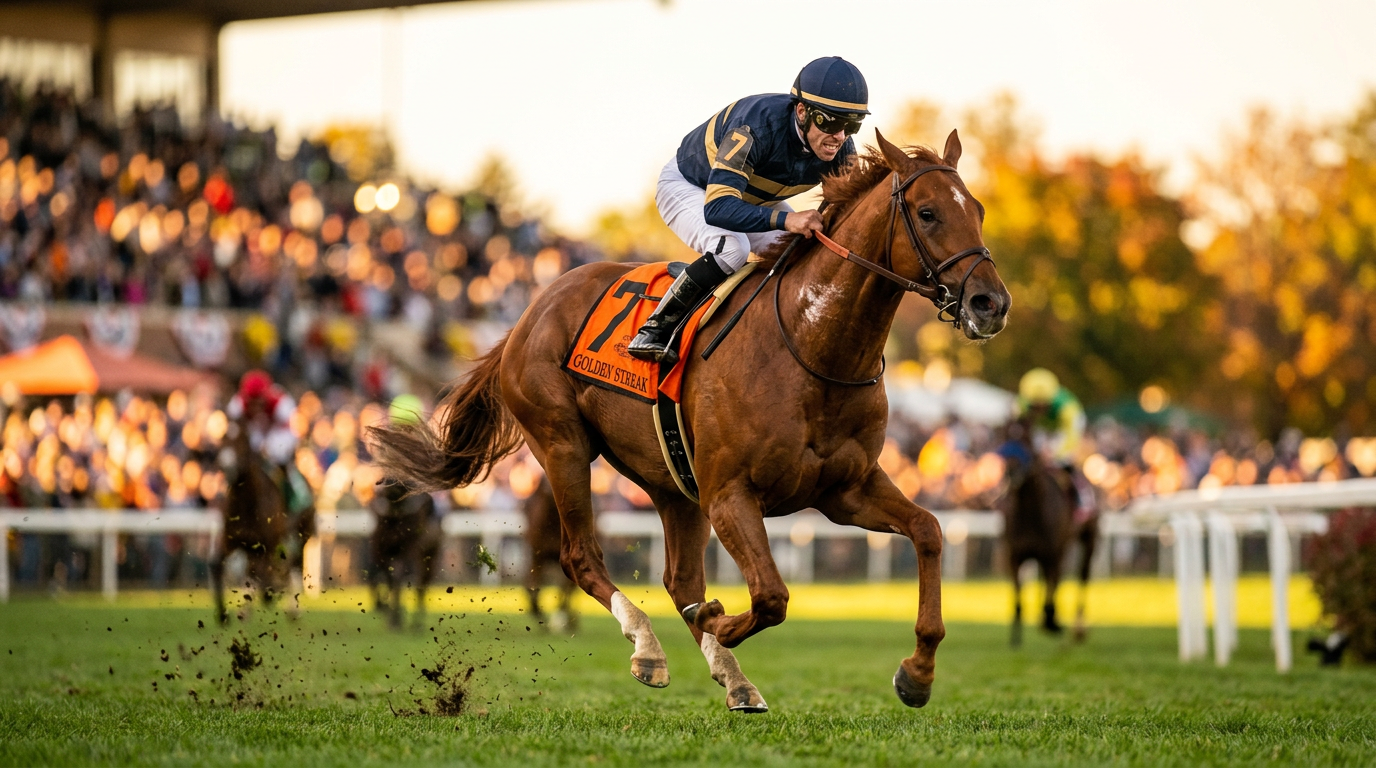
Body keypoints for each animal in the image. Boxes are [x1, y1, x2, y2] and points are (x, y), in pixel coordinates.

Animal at [209, 414, 315, 624]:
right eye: (222, 437)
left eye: (242, 439)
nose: (225, 465)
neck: (246, 503)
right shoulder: (231, 541)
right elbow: (216, 565)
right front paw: (223, 615)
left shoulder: (267, 545)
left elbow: (261, 575)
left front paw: (267, 597)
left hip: (301, 534)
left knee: (293, 564)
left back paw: (291, 608)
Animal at [368, 480, 443, 629]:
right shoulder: (379, 550)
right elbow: (389, 578)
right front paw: (390, 613)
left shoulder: (409, 549)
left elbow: (399, 578)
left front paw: (396, 619)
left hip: (430, 555)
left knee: (421, 584)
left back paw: (417, 624)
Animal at [524, 476, 579, 632]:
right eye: (543, 480)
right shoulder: (537, 554)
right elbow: (532, 587)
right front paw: (538, 614)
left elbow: (565, 590)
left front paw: (560, 620)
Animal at [1000, 424, 1099, 646]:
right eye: (1003, 436)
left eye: (1026, 440)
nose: (1011, 469)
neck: (1030, 510)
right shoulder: (1014, 555)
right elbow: (1018, 598)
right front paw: (1016, 638)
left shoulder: (1053, 554)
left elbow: (1052, 589)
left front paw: (1052, 622)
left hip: (1088, 538)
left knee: (1082, 575)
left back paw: (1077, 629)